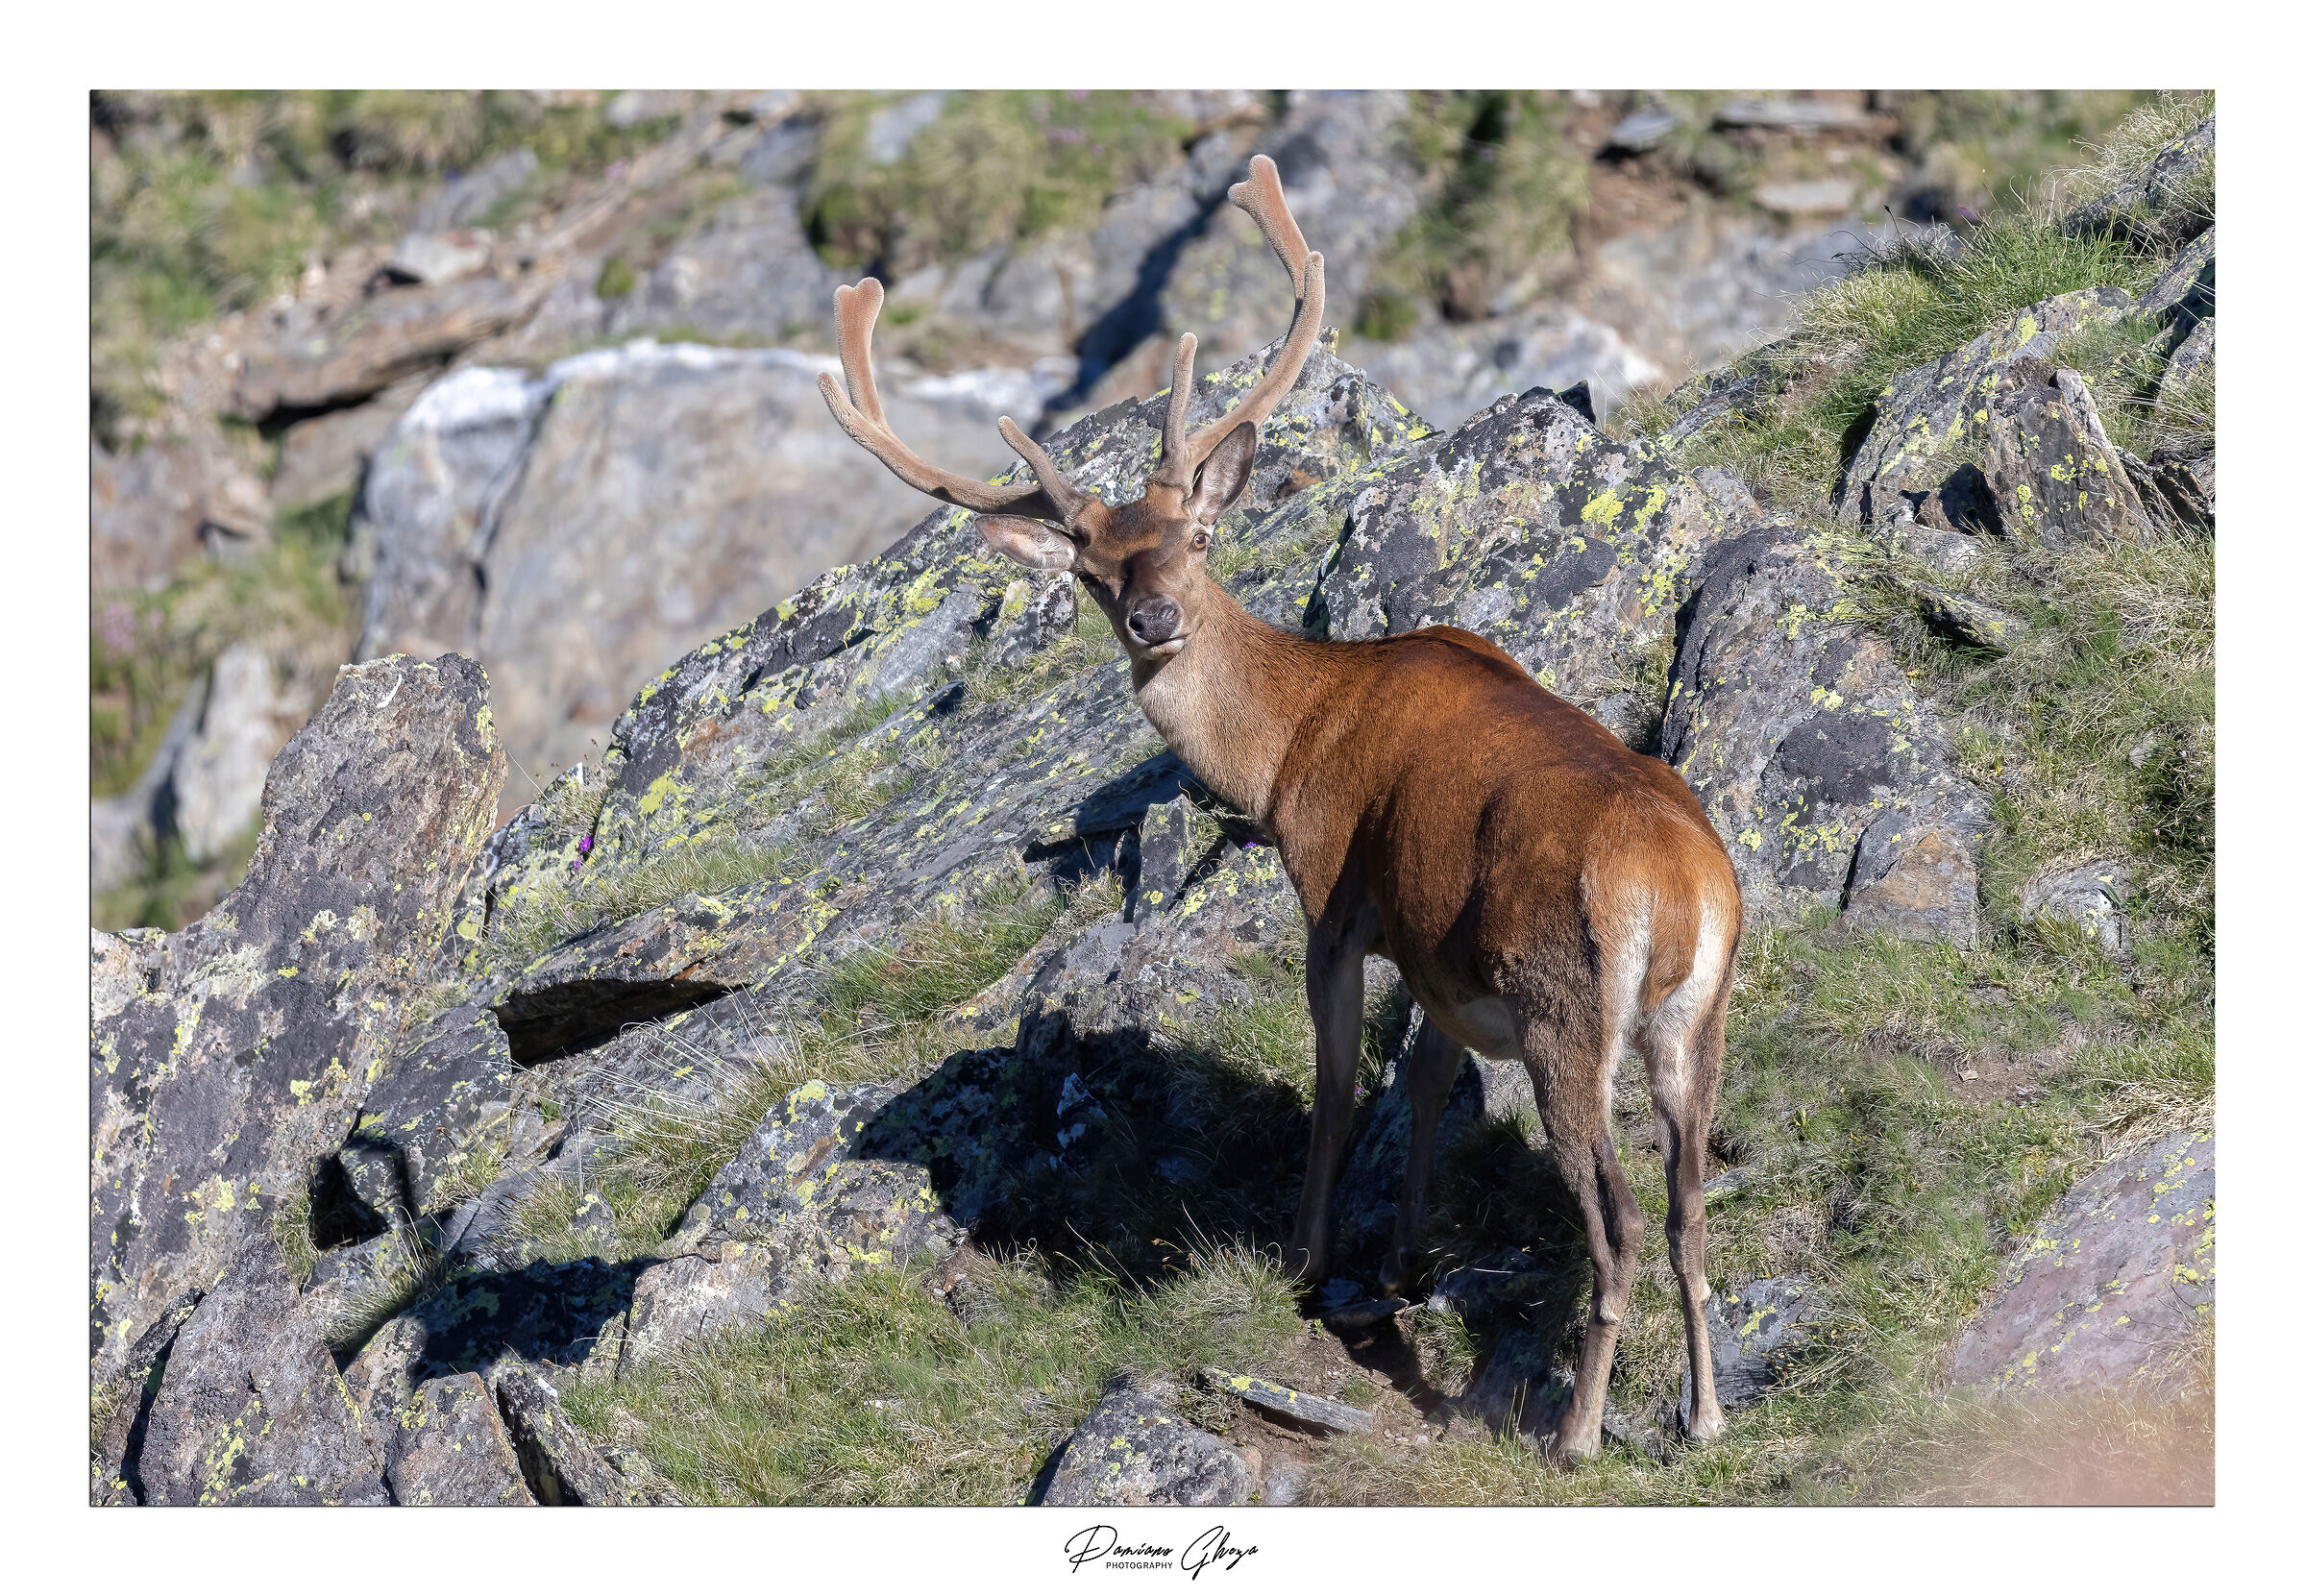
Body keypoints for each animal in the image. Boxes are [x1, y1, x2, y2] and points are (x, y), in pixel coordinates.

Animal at [817, 154, 1744, 1460]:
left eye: (1198, 537)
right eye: (1094, 570)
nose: (1153, 617)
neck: (1289, 737)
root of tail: (1681, 884)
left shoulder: (1335, 892)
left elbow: (1338, 1081)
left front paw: (1306, 1253)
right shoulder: (1433, 944)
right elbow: (1424, 1084)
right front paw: (1399, 1256)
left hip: (1566, 1004)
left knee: (1612, 1222)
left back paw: (1576, 1430)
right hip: (1696, 1020)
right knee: (1688, 1207)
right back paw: (1703, 1413)